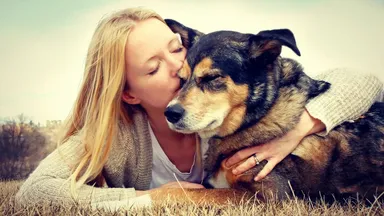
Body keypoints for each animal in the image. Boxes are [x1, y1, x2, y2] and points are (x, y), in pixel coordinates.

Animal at [163, 19, 384, 202]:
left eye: (212, 77)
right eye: (181, 79)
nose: (170, 113)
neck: (260, 114)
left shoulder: (266, 196)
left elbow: (177, 193)